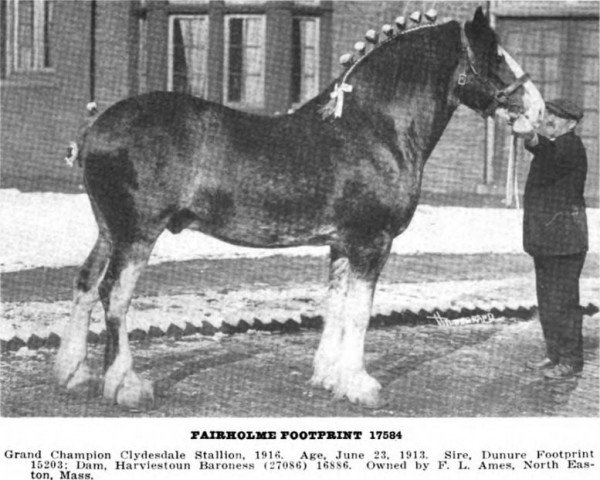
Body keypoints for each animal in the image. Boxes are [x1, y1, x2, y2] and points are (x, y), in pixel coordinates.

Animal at [56, 7, 544, 406]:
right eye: (496, 57)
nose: (539, 111)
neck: (374, 127)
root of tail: (95, 129)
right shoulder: (371, 242)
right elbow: (359, 312)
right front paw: (360, 385)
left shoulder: (342, 244)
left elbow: (337, 305)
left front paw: (329, 377)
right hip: (137, 233)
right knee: (114, 295)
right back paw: (125, 385)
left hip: (109, 230)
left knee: (85, 284)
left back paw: (73, 373)